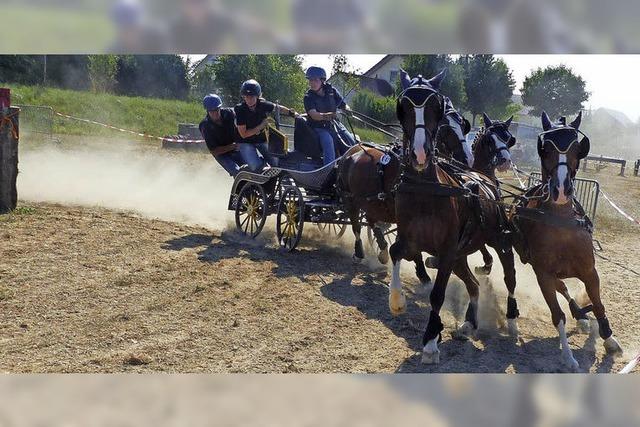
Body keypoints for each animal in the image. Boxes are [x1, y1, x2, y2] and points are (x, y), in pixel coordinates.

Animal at [338, 69, 472, 290]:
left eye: (462, 125)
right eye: (446, 128)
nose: (467, 158)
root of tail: (352, 148)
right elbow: (413, 250)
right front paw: (422, 273)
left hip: (370, 201)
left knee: (372, 222)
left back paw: (382, 251)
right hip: (350, 199)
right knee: (356, 224)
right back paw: (359, 252)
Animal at [388, 69, 524, 364]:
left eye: (436, 108)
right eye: (403, 107)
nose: (419, 153)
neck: (426, 190)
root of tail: (485, 179)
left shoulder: (448, 250)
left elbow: (437, 295)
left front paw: (430, 340)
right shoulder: (412, 240)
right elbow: (395, 252)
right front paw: (397, 300)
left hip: (499, 243)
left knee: (509, 277)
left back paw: (511, 320)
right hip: (461, 257)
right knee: (473, 285)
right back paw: (469, 323)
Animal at [512, 110, 624, 372]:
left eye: (577, 148)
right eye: (545, 149)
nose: (562, 190)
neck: (562, 225)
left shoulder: (590, 271)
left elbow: (599, 304)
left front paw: (609, 338)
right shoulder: (543, 274)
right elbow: (557, 315)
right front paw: (567, 356)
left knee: (565, 288)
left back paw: (582, 316)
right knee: (561, 287)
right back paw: (578, 314)